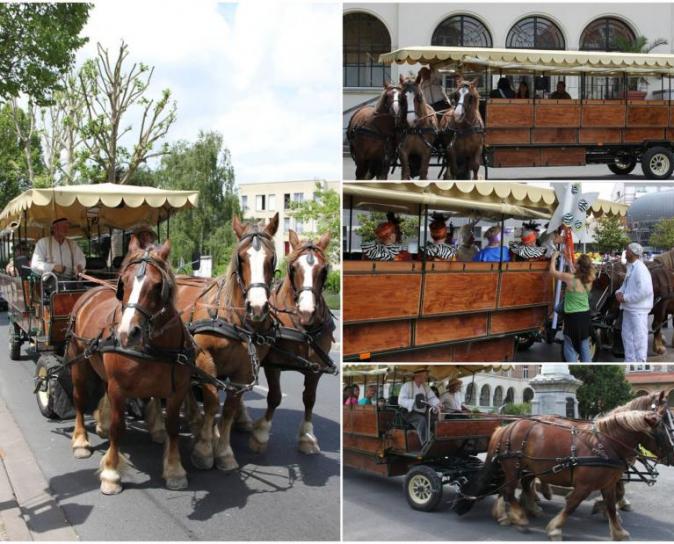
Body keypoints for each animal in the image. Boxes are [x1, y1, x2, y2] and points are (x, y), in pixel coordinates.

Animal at [68, 237, 192, 492]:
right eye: (123, 282)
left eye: (157, 285)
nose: (127, 333)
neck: (154, 348)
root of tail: (92, 290)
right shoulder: (119, 387)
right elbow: (119, 427)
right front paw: (111, 473)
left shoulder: (177, 391)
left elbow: (173, 427)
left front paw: (174, 469)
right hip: (79, 363)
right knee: (79, 399)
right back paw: (81, 440)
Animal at [176, 215, 278, 470]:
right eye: (241, 258)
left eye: (271, 258)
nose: (257, 308)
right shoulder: (204, 359)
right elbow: (212, 403)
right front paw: (204, 449)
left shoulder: (244, 370)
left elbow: (230, 409)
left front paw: (223, 450)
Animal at [248, 230, 334, 454]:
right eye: (293, 268)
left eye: (324, 270)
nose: (307, 312)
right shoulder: (273, 364)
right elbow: (274, 396)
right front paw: (261, 434)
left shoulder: (316, 368)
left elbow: (309, 399)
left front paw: (307, 436)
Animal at [454, 410, 672, 540]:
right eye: (663, 430)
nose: (672, 454)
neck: (606, 443)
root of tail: (507, 427)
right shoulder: (584, 486)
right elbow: (571, 505)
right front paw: (555, 528)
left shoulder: (608, 483)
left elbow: (611, 505)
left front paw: (619, 532)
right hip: (513, 468)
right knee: (508, 491)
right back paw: (519, 517)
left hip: (520, 468)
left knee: (511, 488)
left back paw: (513, 513)